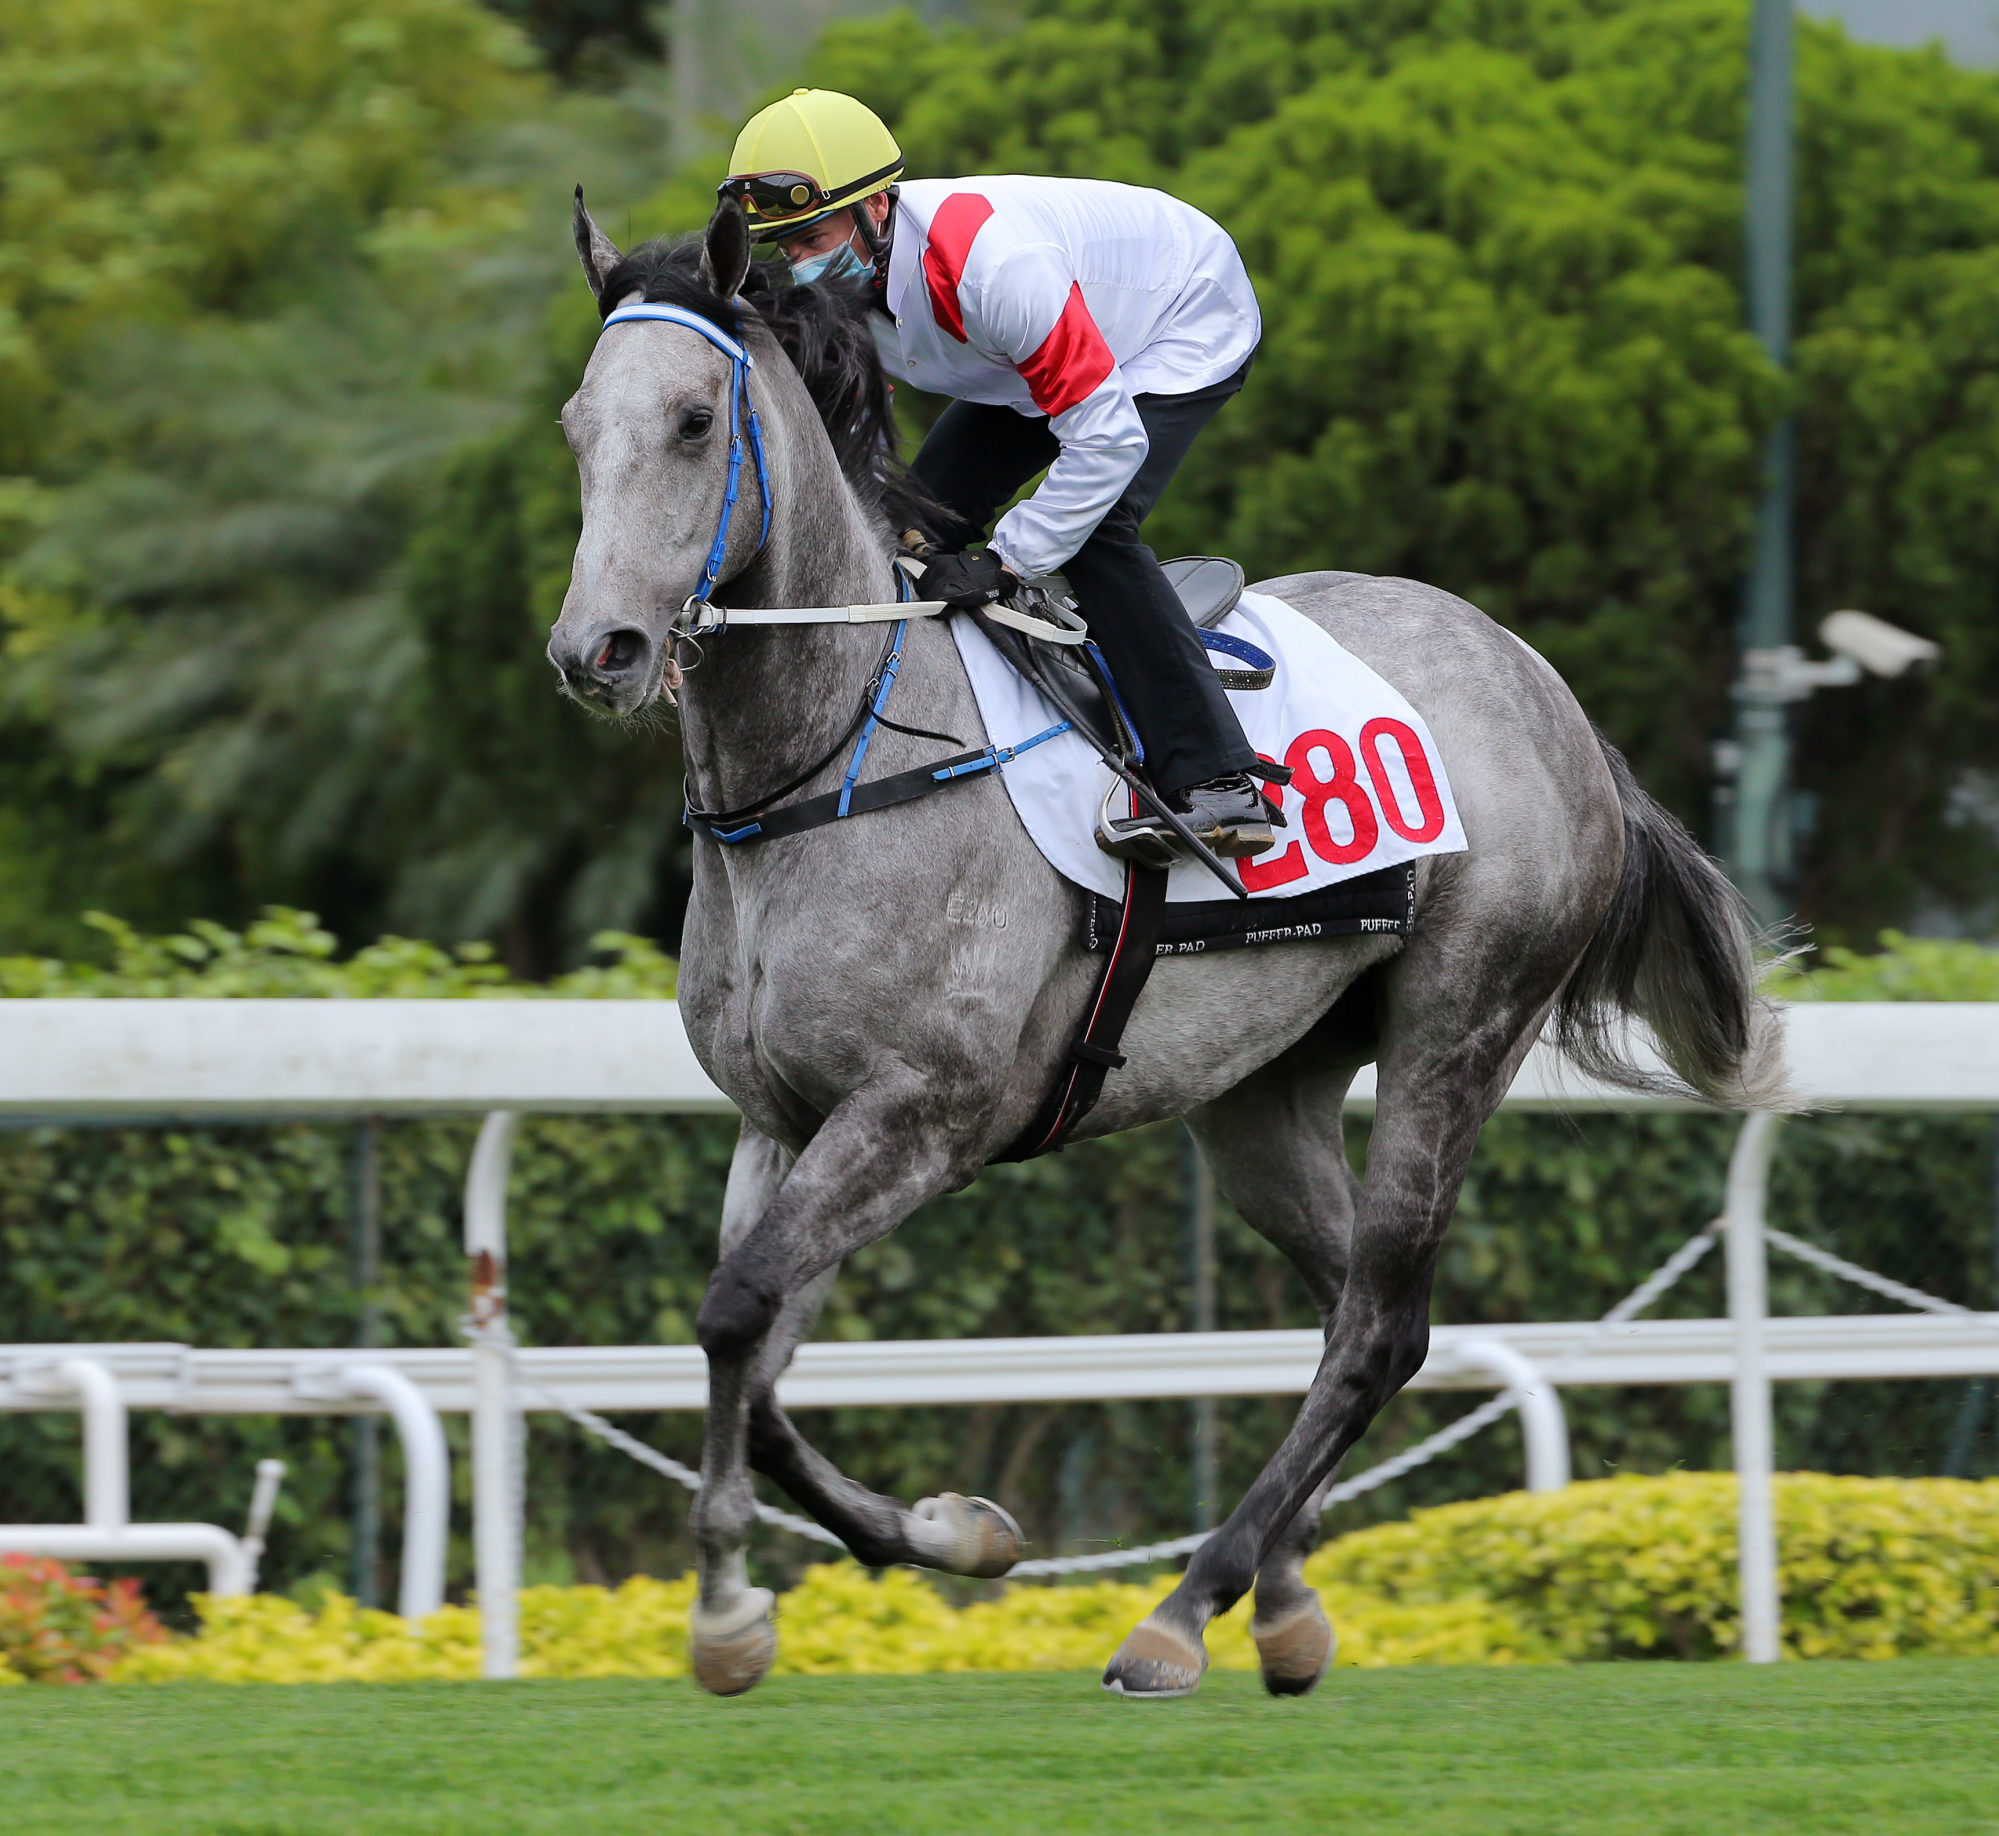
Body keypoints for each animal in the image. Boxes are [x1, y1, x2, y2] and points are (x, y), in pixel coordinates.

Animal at [547, 194, 1783, 1704]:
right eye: (576, 423)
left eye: (689, 423)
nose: (595, 651)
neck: (830, 763)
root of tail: (1546, 691)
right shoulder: (784, 1119)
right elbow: (755, 1350)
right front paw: (931, 1540)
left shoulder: (921, 1115)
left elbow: (735, 1314)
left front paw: (734, 1610)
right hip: (1262, 1092)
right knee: (1369, 1315)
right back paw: (1283, 1602)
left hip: (1461, 1024)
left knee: (1376, 1324)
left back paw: (1183, 1611)